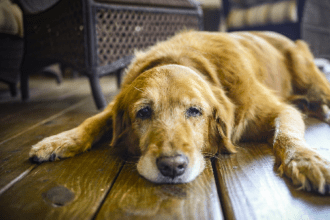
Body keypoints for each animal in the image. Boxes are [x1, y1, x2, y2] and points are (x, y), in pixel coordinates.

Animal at [29, 31, 330, 194]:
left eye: (195, 111)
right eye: (143, 112)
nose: (172, 167)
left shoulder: (279, 109)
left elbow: (286, 135)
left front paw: (305, 161)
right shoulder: (116, 105)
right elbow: (93, 121)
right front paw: (58, 141)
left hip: (312, 78)